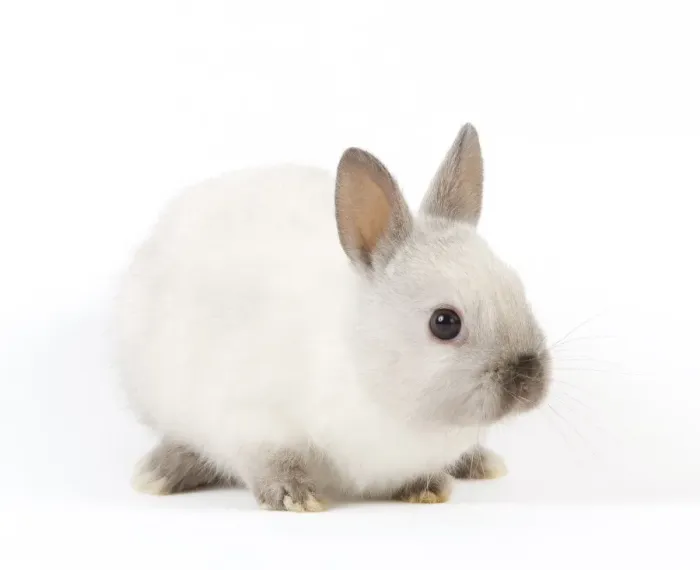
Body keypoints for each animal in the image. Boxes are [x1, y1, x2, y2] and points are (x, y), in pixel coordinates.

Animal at [115, 123, 551, 511]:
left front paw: (426, 488)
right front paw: (294, 497)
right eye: (444, 322)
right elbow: (269, 460)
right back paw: (157, 474)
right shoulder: (251, 420)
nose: (529, 381)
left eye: (517, 288)